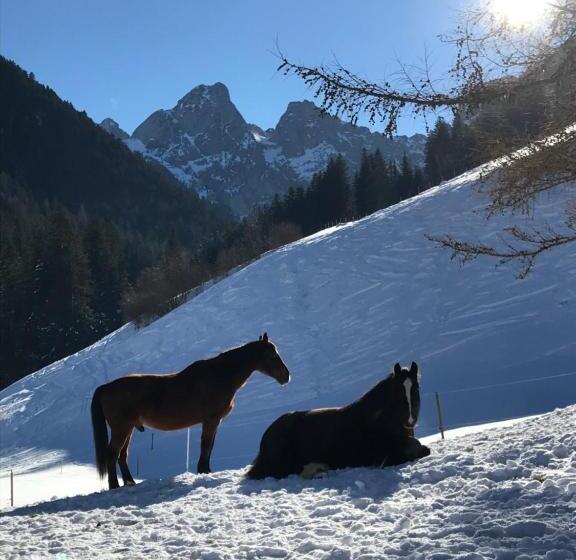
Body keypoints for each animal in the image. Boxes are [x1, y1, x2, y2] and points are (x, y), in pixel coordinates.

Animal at [92, 334, 290, 488]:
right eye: (272, 355)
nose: (286, 376)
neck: (220, 375)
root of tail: (106, 387)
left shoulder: (215, 421)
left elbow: (209, 447)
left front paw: (206, 470)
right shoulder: (211, 420)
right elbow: (206, 446)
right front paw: (203, 471)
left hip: (129, 429)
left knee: (122, 456)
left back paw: (130, 482)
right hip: (121, 429)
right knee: (113, 454)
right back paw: (114, 485)